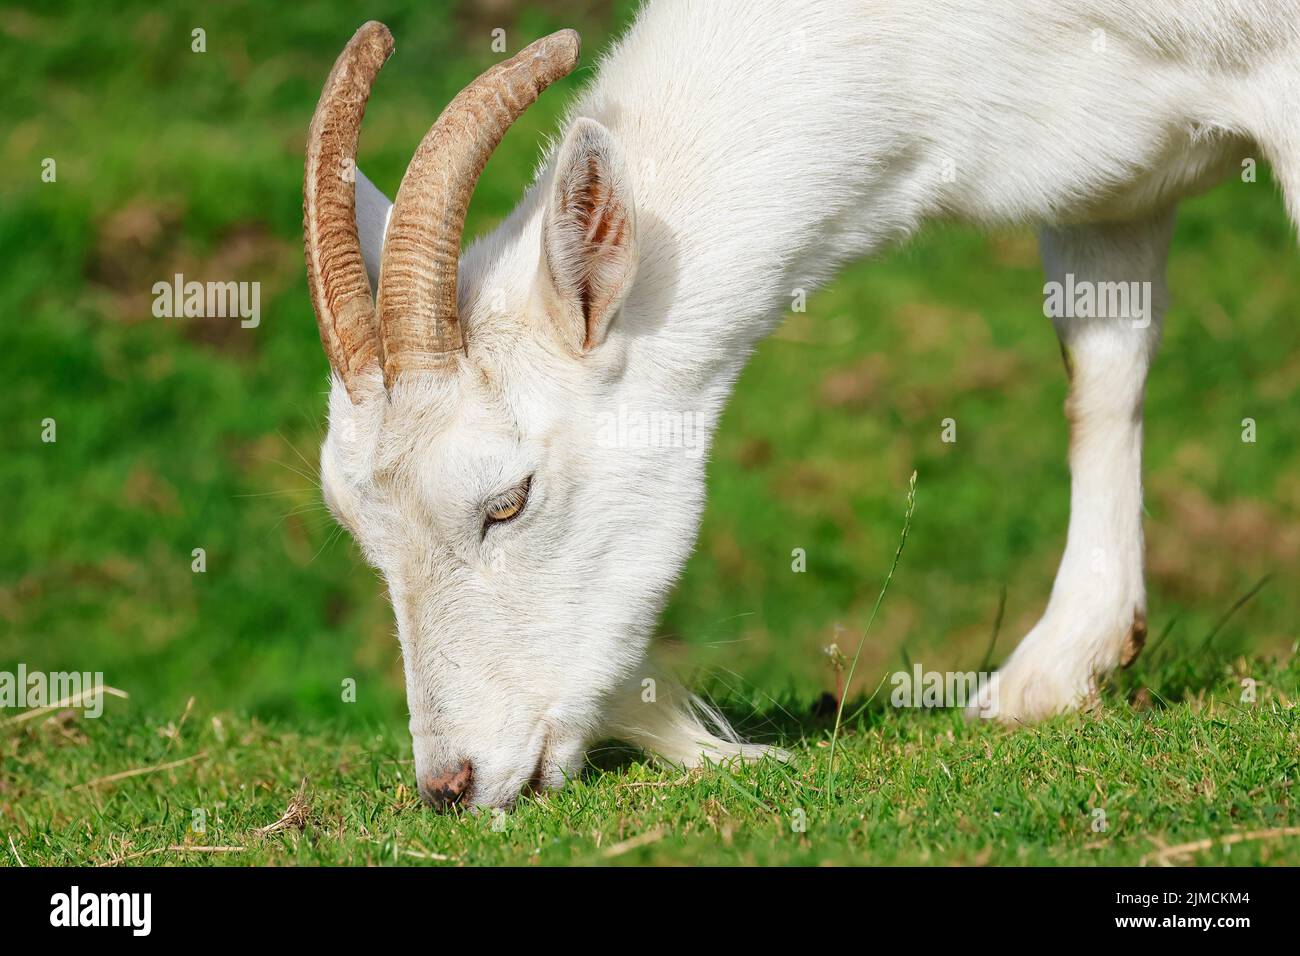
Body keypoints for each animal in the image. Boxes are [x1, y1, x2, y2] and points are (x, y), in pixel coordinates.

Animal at [304, 1, 1300, 806]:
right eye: (359, 533)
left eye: (508, 501)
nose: (451, 784)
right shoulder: (1101, 179)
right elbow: (1099, 382)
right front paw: (1059, 666)